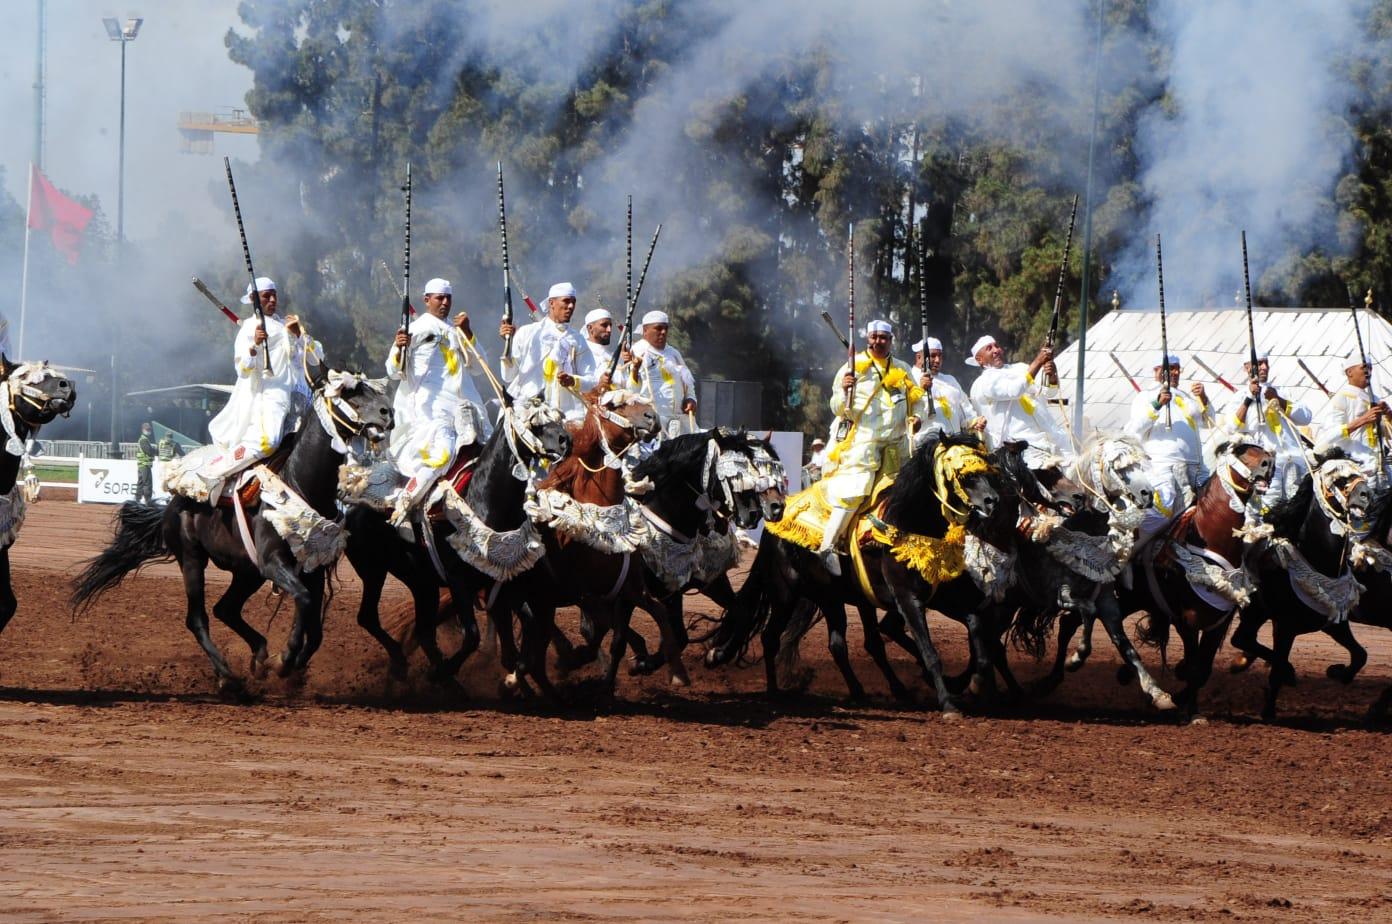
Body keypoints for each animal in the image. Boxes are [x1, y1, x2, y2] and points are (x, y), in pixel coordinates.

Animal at [74, 370, 395, 693]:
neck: (298, 483)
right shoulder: (273, 563)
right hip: (194, 560)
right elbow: (303, 600)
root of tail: (171, 506)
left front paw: (290, 666)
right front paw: (285, 659)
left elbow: (315, 629)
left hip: (246, 572)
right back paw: (228, 675)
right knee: (198, 618)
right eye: (350, 392)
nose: (388, 413)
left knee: (225, 609)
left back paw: (259, 656)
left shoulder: (312, 567)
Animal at [345, 392, 579, 681]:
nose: (566, 440)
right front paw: (446, 671)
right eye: (533, 422)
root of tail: (350, 512)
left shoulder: (503, 581)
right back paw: (404, 664)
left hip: (421, 582)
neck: (482, 499)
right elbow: (472, 636)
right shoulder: (459, 581)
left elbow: (528, 626)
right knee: (369, 618)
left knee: (423, 629)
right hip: (374, 572)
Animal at [1113, 442, 1275, 723]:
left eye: (1262, 449)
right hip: (1129, 598)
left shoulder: (1218, 622)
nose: (1269, 463)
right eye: (1242, 451)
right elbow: (1193, 666)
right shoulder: (1186, 620)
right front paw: (1185, 708)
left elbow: (1203, 669)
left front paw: (1187, 705)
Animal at [1230, 453, 1380, 723]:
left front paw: (1338, 672)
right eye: (1339, 479)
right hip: (1254, 612)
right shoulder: (1284, 626)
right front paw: (1269, 711)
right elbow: (1277, 667)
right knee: (1243, 639)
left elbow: (1360, 655)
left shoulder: (1335, 623)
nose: (1367, 495)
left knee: (1244, 639)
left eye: (1359, 473)